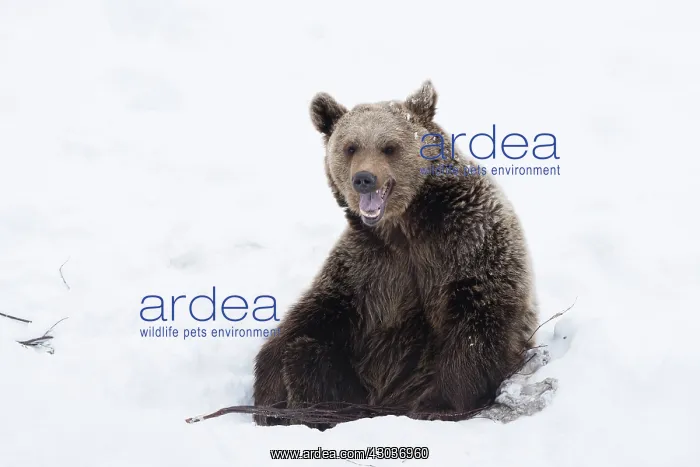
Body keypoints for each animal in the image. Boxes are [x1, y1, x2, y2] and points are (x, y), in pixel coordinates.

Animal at [252, 81, 538, 429]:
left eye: (389, 147)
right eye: (350, 147)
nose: (364, 179)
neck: (405, 226)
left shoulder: (470, 240)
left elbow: (479, 318)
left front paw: (439, 403)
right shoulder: (368, 264)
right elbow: (316, 312)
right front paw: (268, 394)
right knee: (306, 352)